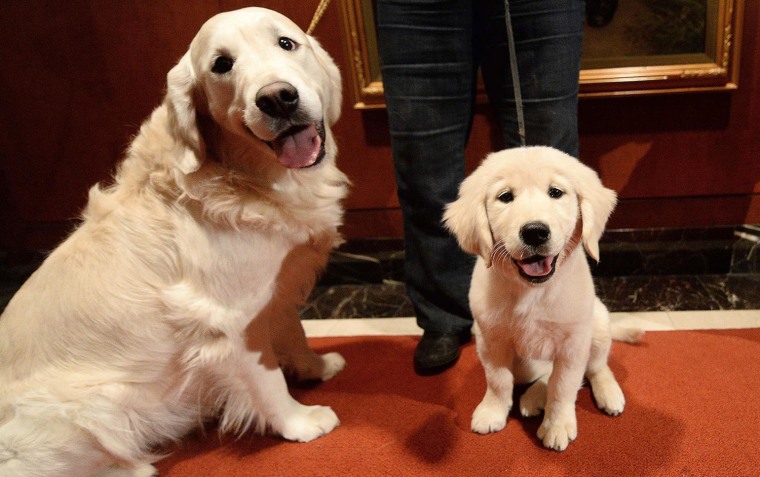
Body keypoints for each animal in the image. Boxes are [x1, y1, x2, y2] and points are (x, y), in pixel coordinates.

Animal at [0, 8, 348, 476]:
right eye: (222, 65)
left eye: (286, 43)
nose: (277, 98)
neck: (242, 176)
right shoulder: (231, 320)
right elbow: (268, 378)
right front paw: (300, 422)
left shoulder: (272, 290)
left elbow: (294, 332)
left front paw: (317, 366)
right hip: (94, 407)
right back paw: (133, 468)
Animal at [446, 147, 640, 452]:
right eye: (505, 197)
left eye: (556, 192)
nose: (535, 231)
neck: (532, 292)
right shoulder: (490, 339)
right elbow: (498, 380)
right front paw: (492, 411)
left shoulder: (573, 345)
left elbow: (563, 387)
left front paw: (556, 425)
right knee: (543, 373)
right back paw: (533, 397)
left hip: (597, 324)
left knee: (596, 366)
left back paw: (608, 393)